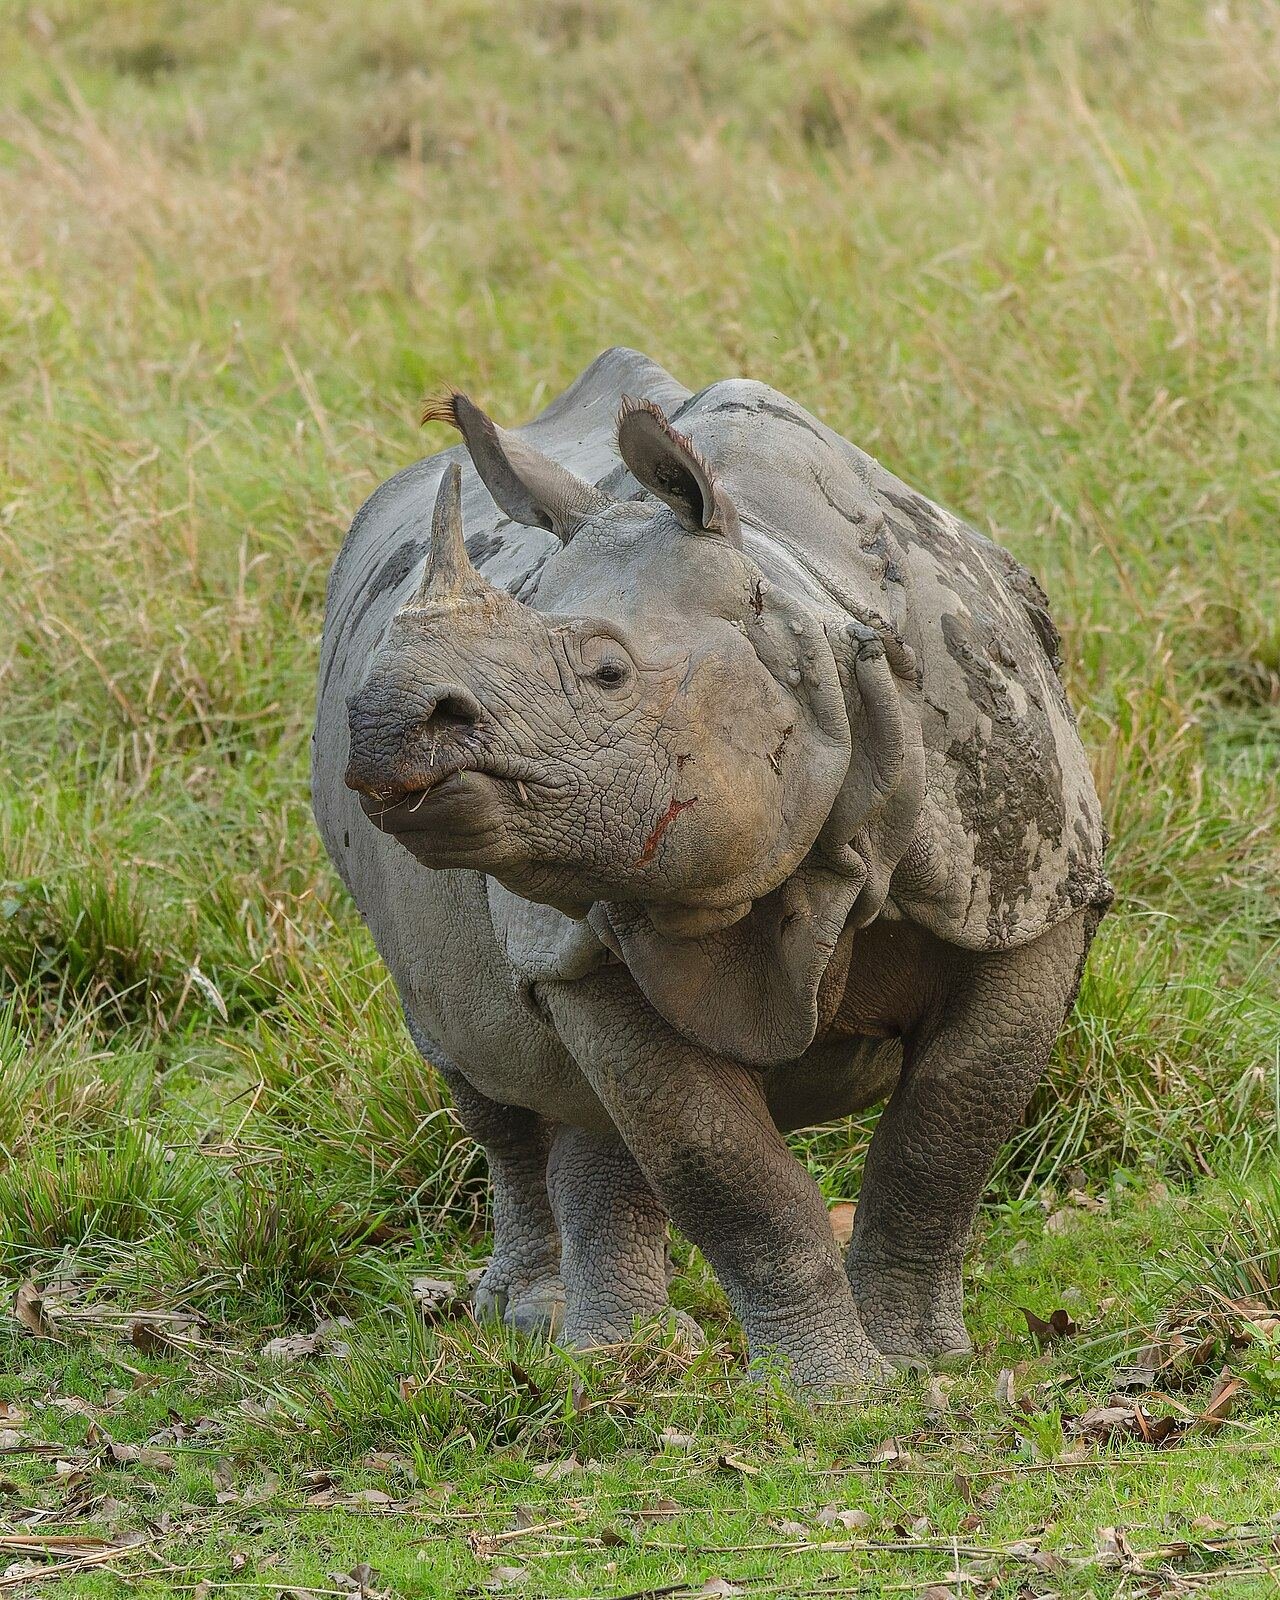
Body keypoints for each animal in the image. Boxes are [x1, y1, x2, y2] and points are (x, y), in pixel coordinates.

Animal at [312, 347, 1111, 1387]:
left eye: (609, 674)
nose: (383, 722)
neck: (802, 615)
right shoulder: (579, 945)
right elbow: (721, 1167)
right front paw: (833, 1394)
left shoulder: (1029, 889)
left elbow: (946, 1131)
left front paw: (920, 1365)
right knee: (493, 1074)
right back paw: (565, 1340)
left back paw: (618, 1354)